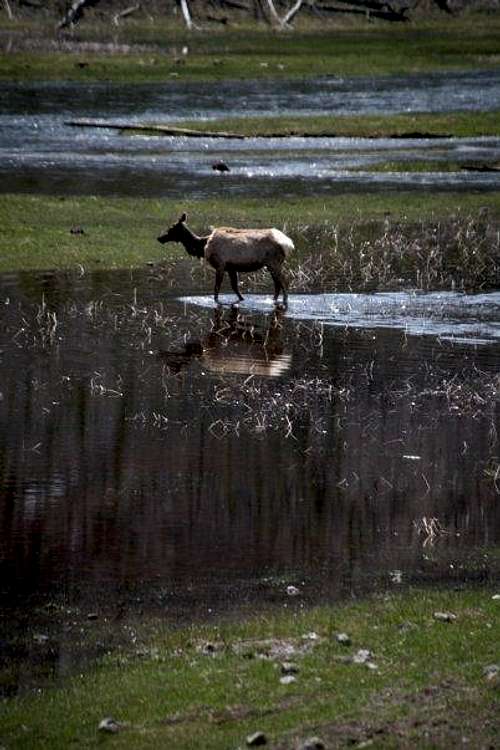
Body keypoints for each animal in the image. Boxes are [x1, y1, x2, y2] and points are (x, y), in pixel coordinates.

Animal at [157, 212, 292, 306]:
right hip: (271, 264)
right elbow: (235, 287)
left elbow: (217, 288)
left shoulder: (220, 265)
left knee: (283, 283)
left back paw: (284, 301)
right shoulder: (231, 267)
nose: (159, 238)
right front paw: (242, 299)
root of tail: (288, 244)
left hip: (274, 263)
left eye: (171, 229)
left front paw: (216, 301)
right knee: (277, 284)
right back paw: (273, 300)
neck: (202, 247)